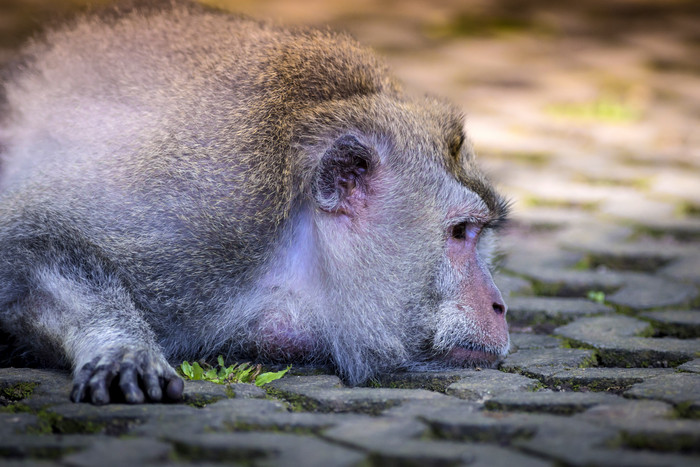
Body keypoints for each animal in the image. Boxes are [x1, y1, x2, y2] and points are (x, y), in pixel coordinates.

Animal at [0, 0, 506, 404]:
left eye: (480, 234)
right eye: (461, 232)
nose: (500, 306)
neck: (299, 246)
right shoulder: (206, 218)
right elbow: (26, 246)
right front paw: (122, 349)